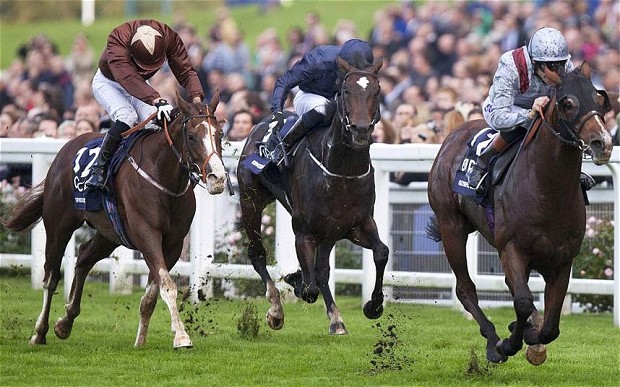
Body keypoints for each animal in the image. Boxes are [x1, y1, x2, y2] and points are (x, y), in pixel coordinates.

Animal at [1, 92, 228, 350]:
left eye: (220, 134)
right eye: (191, 136)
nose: (218, 178)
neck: (162, 176)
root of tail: (65, 148)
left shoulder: (173, 243)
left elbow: (152, 293)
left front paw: (140, 341)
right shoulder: (147, 233)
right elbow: (168, 286)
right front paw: (181, 336)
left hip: (110, 234)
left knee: (84, 258)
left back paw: (65, 323)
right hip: (59, 224)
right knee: (51, 276)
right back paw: (39, 332)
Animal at [236, 56, 388, 334]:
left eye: (377, 90)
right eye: (346, 91)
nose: (361, 130)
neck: (342, 171)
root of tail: (258, 126)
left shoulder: (357, 225)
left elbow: (381, 252)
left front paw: (374, 305)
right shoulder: (304, 231)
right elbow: (308, 288)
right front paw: (293, 281)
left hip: (328, 233)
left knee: (322, 271)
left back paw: (336, 319)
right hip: (250, 199)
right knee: (257, 253)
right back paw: (276, 309)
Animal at [428, 62, 612, 366]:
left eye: (600, 99)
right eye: (568, 103)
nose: (603, 143)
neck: (547, 191)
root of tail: (455, 131)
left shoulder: (563, 260)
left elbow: (551, 326)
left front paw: (532, 337)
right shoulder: (511, 248)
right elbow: (524, 301)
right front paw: (508, 344)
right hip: (450, 225)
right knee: (466, 289)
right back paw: (492, 340)